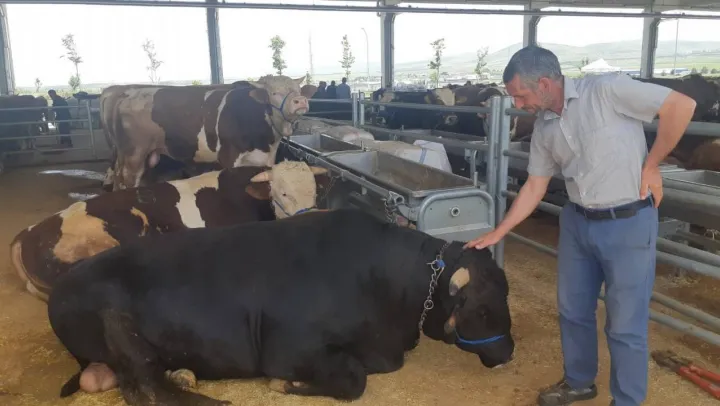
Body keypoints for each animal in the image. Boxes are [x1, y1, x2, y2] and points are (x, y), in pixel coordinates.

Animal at [48, 208, 514, 405]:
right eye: (483, 309)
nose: (509, 352)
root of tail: (61, 285)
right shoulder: (289, 347)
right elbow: (354, 381)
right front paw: (287, 385)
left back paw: (181, 374)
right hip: (119, 325)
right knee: (143, 388)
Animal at [100, 75, 309, 191]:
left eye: (297, 90)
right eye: (274, 93)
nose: (300, 101)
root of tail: (127, 94)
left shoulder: (264, 160)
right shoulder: (228, 156)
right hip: (133, 155)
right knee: (127, 181)